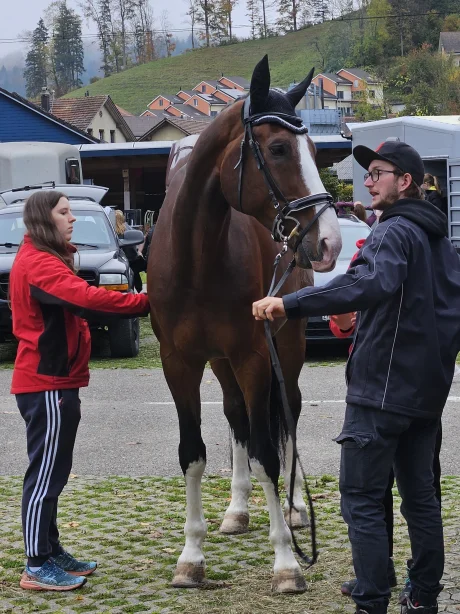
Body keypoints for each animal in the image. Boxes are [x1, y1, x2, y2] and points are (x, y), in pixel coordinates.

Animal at [147, 55, 342, 596]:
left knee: (286, 414)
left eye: (314, 150)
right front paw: (191, 558)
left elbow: (267, 454)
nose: (329, 241)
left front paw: (287, 563)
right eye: (277, 148)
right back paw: (236, 510)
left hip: (285, 350)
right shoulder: (180, 363)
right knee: (237, 417)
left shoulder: (255, 357)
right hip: (221, 362)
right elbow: (193, 453)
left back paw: (293, 511)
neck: (198, 259)